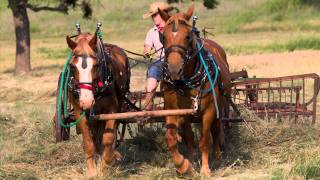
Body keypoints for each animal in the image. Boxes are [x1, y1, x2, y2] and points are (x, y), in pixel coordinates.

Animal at [65, 32, 130, 177]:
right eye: (72, 66)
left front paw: (105, 164)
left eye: (96, 65)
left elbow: (108, 137)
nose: (87, 100)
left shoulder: (111, 109)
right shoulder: (79, 110)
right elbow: (88, 141)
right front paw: (92, 170)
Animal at [158, 5, 231, 176]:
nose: (174, 70)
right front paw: (186, 165)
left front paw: (205, 169)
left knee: (216, 132)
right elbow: (177, 138)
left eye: (187, 36)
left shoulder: (209, 110)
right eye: (163, 37)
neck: (185, 81)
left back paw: (217, 158)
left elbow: (204, 140)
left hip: (219, 107)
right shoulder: (174, 110)